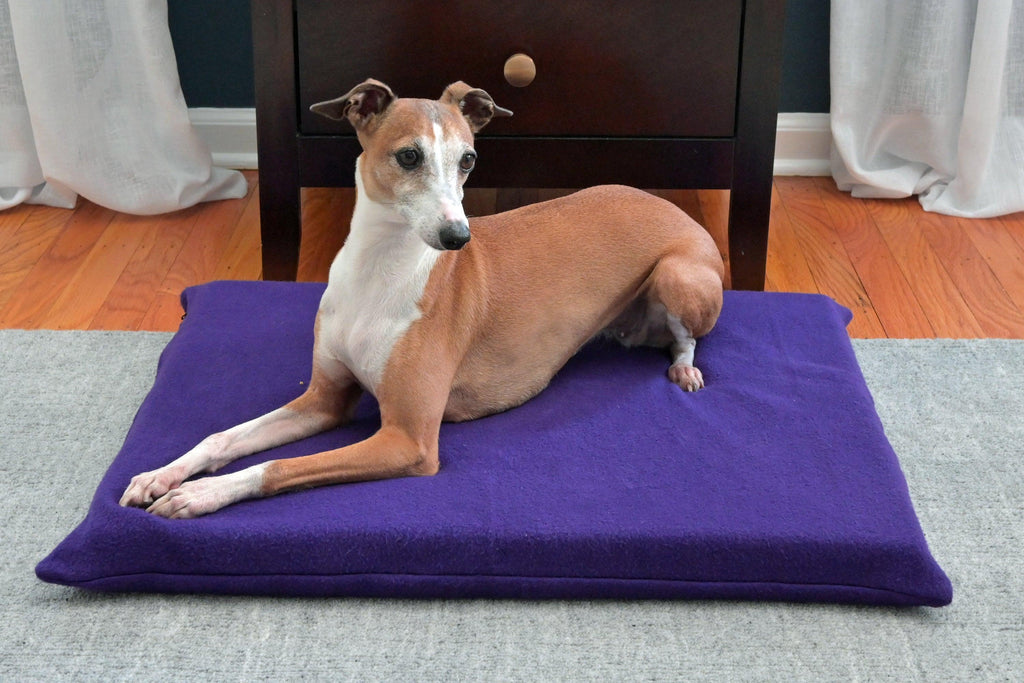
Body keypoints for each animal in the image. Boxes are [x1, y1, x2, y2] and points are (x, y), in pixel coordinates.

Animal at [119, 80, 724, 518]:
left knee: (687, 337)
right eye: (409, 157)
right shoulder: (323, 400)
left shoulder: (408, 440)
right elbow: (221, 436)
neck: (379, 272)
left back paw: (685, 369)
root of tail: (668, 204)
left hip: (679, 275)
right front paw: (162, 474)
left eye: (469, 160)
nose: (459, 238)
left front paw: (200, 494)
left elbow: (280, 467)